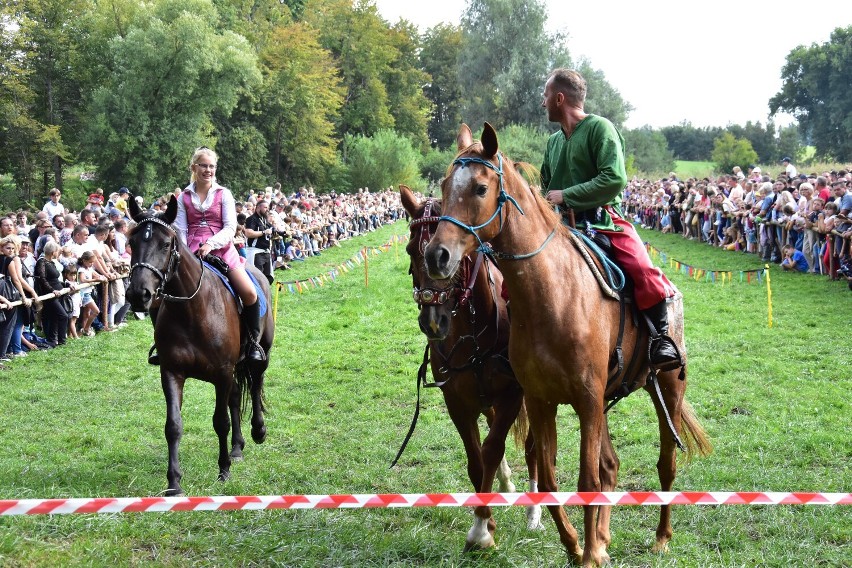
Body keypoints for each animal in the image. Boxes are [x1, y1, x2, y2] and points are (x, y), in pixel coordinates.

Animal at [125, 196, 272, 496]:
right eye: (131, 242)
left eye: (166, 244)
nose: (138, 294)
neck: (191, 311)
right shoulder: (172, 372)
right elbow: (173, 426)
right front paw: (174, 483)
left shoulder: (222, 373)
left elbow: (220, 422)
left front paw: (223, 470)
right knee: (237, 395)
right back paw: (237, 448)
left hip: (261, 353)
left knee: (256, 384)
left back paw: (258, 431)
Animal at [398, 186, 540, 552]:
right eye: (410, 250)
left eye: (457, 254)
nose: (433, 322)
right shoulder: (458, 402)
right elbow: (476, 460)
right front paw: (486, 521)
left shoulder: (512, 395)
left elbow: (491, 450)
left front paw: (481, 531)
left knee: (534, 444)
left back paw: (534, 509)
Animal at [422, 125, 708, 568]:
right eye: (445, 185)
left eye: (481, 188)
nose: (438, 255)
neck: (552, 294)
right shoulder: (543, 400)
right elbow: (552, 478)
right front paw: (578, 546)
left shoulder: (586, 399)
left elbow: (585, 478)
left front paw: (587, 553)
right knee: (611, 465)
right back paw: (603, 538)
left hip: (668, 388)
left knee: (666, 464)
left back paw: (660, 537)